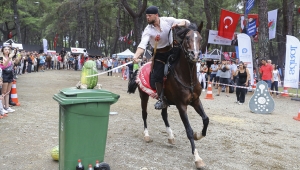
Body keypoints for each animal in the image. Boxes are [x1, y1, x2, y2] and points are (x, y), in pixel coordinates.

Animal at [127, 23, 210, 169]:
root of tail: (141, 66)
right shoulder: (181, 106)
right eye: (187, 38)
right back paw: (147, 135)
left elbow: (206, 119)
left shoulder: (196, 101)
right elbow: (188, 130)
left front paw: (198, 135)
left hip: (164, 101)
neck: (187, 78)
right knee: (144, 114)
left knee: (164, 115)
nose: (194, 55)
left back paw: (170, 136)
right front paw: (197, 158)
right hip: (144, 96)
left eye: (200, 38)